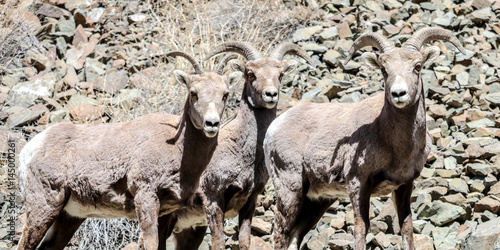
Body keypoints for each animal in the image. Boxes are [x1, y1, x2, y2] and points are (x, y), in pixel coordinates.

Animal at [17, 51, 240, 250]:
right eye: (193, 93)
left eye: (225, 94)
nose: (212, 123)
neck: (179, 151)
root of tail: (29, 150)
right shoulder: (146, 196)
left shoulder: (165, 212)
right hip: (44, 208)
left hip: (69, 217)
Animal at [157, 41, 312, 250]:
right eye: (251, 74)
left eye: (280, 74)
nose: (270, 94)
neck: (244, 155)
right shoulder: (213, 200)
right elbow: (219, 243)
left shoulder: (249, 202)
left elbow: (245, 241)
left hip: (189, 231)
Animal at [264, 27, 466, 250]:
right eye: (383, 69)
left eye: (418, 66)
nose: (398, 93)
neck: (396, 145)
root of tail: (274, 127)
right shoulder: (358, 183)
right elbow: (361, 229)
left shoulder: (405, 185)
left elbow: (406, 229)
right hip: (290, 191)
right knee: (280, 235)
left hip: (316, 201)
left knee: (294, 238)